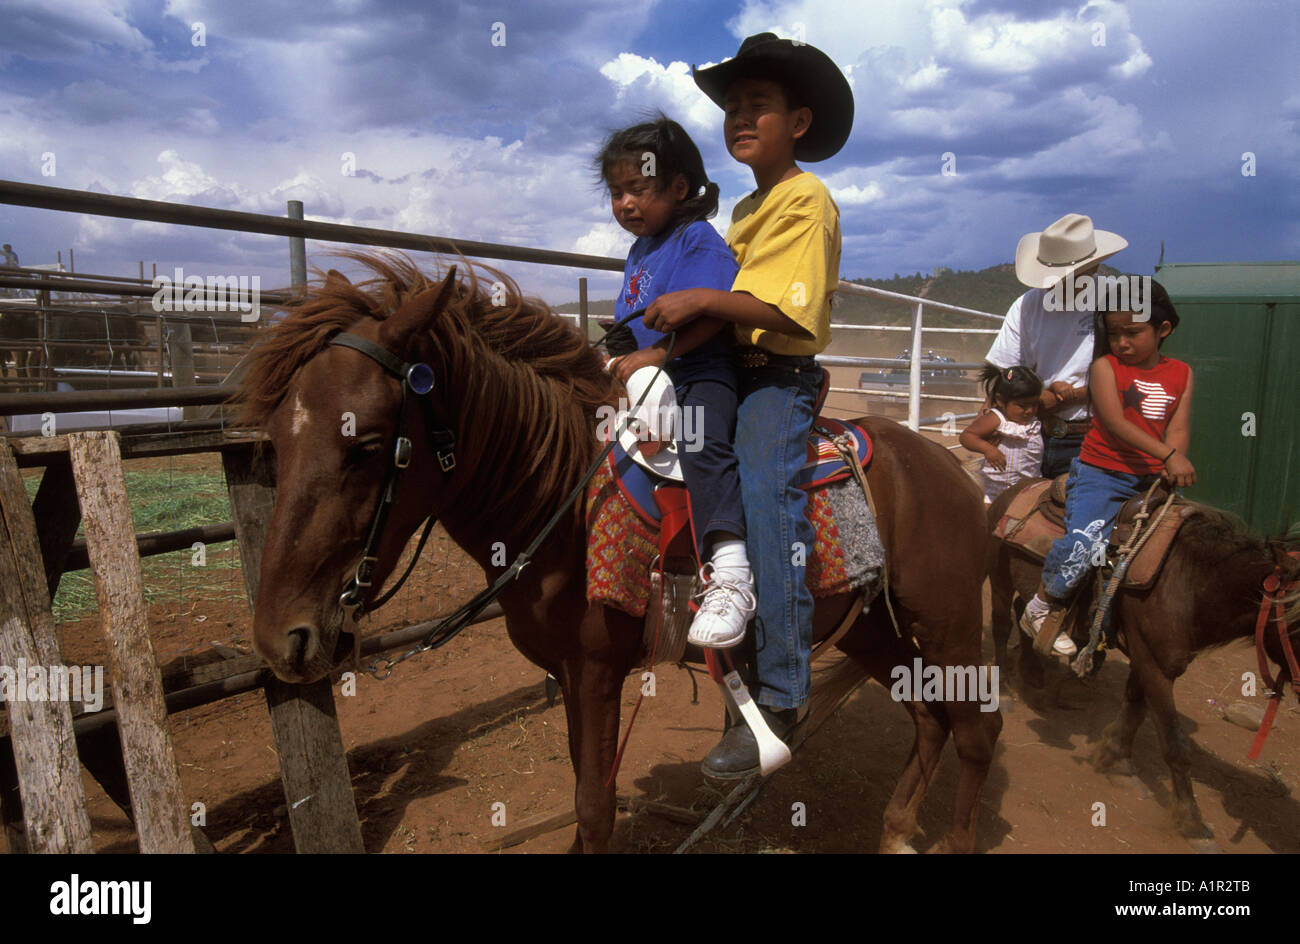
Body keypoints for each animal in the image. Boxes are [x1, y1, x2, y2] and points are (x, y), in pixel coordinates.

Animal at [236, 253, 1003, 858]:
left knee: (975, 730)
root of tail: (949, 471)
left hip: (948, 625)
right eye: (274, 439)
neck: (562, 501)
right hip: (873, 627)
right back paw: (897, 831)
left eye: (367, 445)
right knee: (928, 717)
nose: (282, 640)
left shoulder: (598, 671)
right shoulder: (573, 677)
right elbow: (586, 792)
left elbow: (595, 807)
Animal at [987, 483, 1294, 837]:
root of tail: (1015, 489)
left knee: (1024, 616)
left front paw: (1115, 759)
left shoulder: (1148, 657)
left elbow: (1134, 708)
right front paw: (1190, 818)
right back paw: (1005, 691)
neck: (1190, 581)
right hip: (999, 576)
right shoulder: (1156, 667)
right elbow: (1174, 744)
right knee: (1001, 625)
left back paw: (1033, 676)